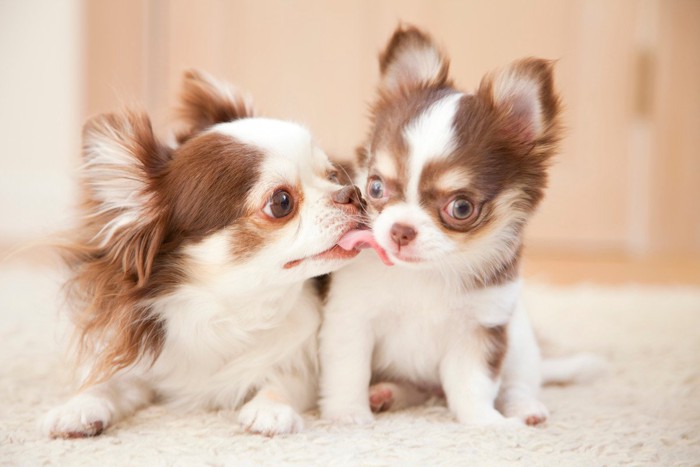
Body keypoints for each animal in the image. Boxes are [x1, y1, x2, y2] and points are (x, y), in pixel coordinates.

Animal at [43, 69, 370, 438]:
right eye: (281, 202)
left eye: (333, 175)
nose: (353, 193)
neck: (227, 312)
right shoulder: (146, 364)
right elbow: (107, 382)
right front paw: (77, 406)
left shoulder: (301, 366)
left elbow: (283, 380)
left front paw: (270, 408)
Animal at [320, 26, 560, 428]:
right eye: (375, 187)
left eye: (461, 208)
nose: (400, 230)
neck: (426, 275)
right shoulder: (352, 317)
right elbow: (348, 371)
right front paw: (349, 415)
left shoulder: (480, 330)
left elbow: (473, 385)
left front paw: (486, 424)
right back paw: (386, 394)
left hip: (521, 343)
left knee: (520, 383)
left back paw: (525, 410)